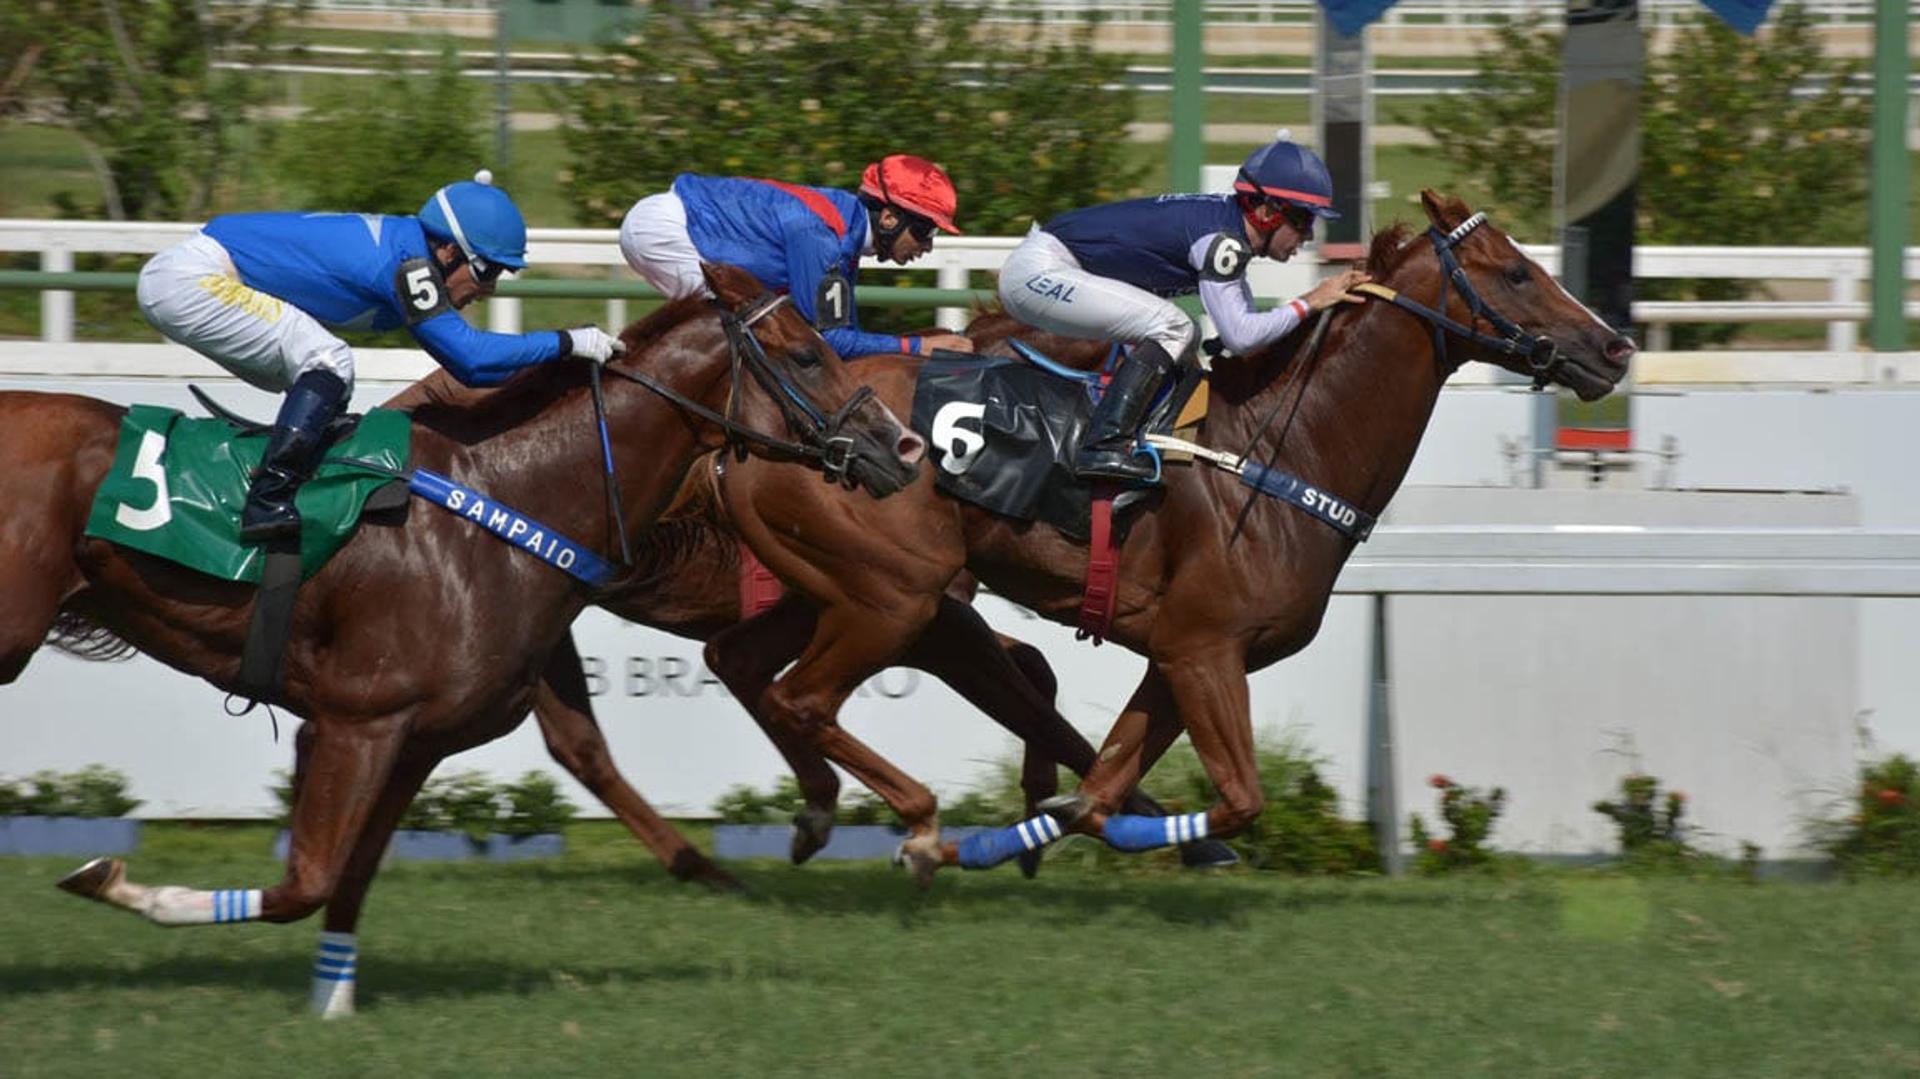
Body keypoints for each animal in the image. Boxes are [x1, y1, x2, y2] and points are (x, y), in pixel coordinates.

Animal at [5, 263, 921, 1006]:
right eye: (807, 355)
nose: (904, 447)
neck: (509, 501)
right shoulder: (357, 719)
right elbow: (305, 880)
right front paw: (112, 879)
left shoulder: (417, 739)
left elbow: (348, 883)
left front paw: (333, 1004)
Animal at [698, 192, 1628, 879]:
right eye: (1515, 271)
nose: (1615, 349)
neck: (1281, 448)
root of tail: (762, 432)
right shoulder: (1205, 648)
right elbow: (1238, 798)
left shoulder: (1179, 654)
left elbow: (1104, 787)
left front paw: (1011, 836)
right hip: (897, 596)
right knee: (802, 697)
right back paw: (913, 822)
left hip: (844, 587)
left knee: (742, 662)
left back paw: (835, 817)